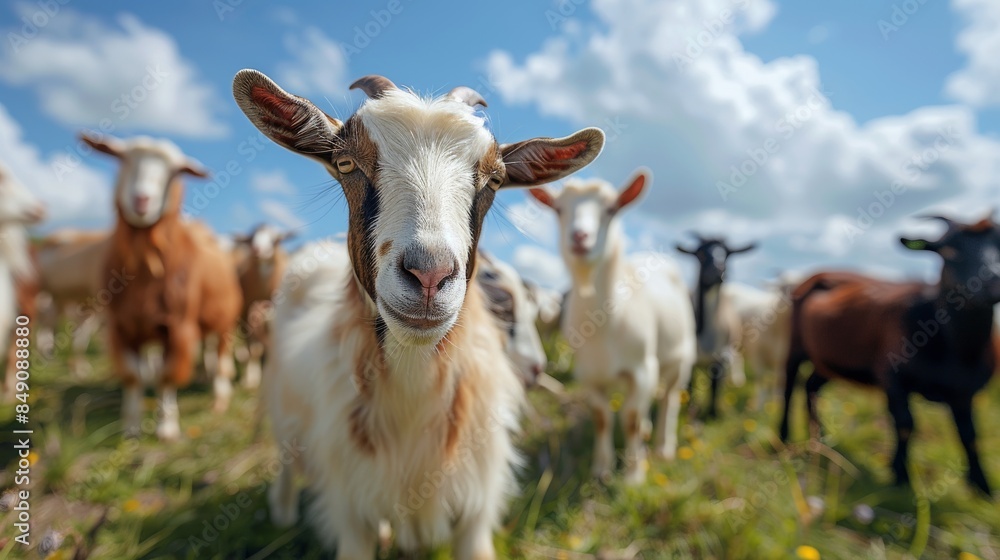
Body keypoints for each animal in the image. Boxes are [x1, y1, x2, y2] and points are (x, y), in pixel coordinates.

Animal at [80, 133, 242, 441]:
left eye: (175, 172)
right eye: (123, 159)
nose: (142, 199)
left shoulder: (178, 326)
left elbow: (168, 375)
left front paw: (167, 427)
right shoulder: (120, 327)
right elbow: (133, 375)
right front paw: (131, 427)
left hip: (225, 320)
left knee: (220, 354)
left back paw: (220, 397)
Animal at [233, 69, 604, 558]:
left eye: (494, 180)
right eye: (345, 164)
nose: (429, 275)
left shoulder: (475, 508)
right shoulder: (350, 509)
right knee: (286, 457)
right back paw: (281, 513)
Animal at [529, 169, 696, 484]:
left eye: (611, 209)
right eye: (558, 209)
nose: (580, 237)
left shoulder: (642, 370)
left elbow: (630, 419)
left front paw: (633, 475)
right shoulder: (589, 375)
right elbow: (602, 418)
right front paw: (600, 469)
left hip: (681, 360)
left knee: (669, 400)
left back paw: (663, 446)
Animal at [675, 234, 756, 418]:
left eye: (727, 254)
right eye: (700, 254)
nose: (719, 271)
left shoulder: (720, 358)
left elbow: (715, 387)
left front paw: (713, 414)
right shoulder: (691, 359)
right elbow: (690, 386)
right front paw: (690, 410)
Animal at [780, 214, 1000, 496]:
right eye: (949, 250)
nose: (993, 283)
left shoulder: (964, 392)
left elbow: (970, 436)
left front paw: (982, 486)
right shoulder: (891, 376)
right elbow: (905, 424)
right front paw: (900, 476)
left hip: (830, 360)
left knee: (811, 386)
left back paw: (820, 439)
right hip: (795, 345)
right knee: (788, 386)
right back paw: (784, 436)